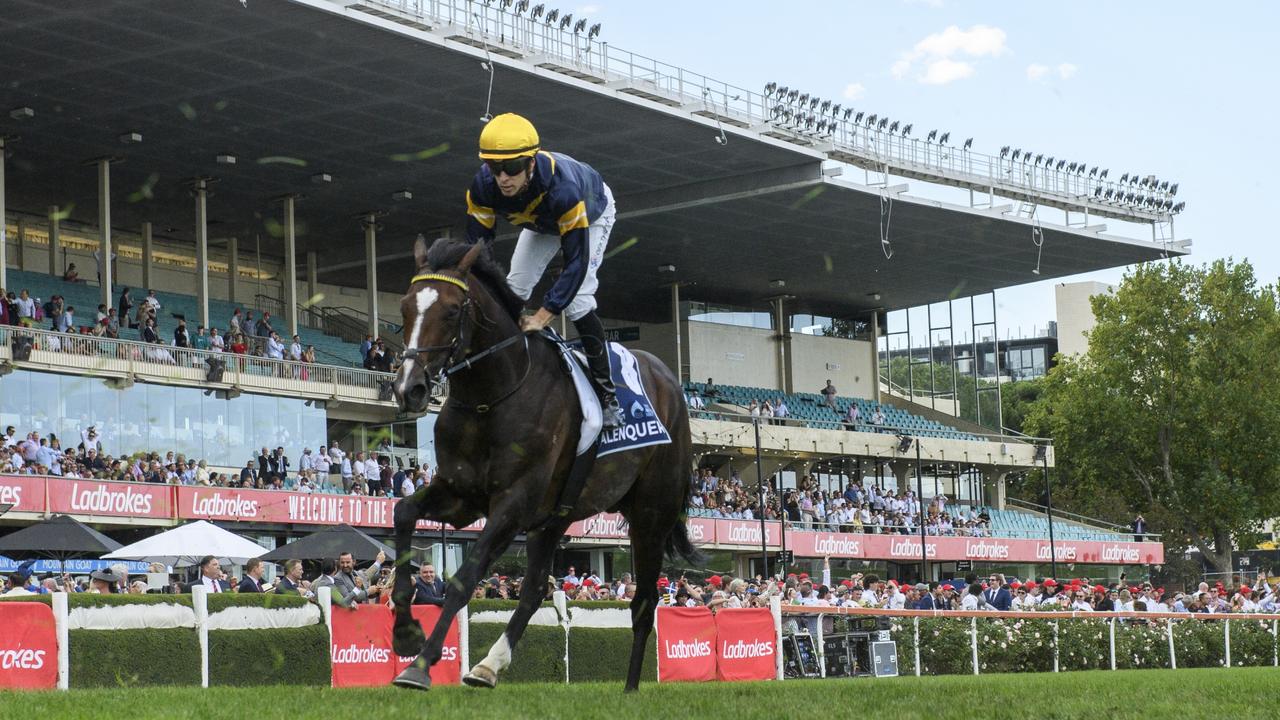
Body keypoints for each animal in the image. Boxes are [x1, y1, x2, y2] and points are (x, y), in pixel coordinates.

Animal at [389, 235, 701, 691]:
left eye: (451, 310)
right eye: (405, 308)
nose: (408, 388)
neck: (492, 395)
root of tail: (670, 380)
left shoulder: (513, 503)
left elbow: (465, 578)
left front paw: (421, 664)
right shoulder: (462, 494)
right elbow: (403, 512)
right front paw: (404, 631)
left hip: (651, 515)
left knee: (644, 601)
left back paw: (630, 687)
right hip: (555, 516)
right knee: (536, 587)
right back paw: (488, 665)